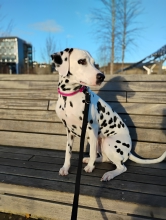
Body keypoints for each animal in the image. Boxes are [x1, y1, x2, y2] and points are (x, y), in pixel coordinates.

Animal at [51, 49, 166, 181]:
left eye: (94, 63)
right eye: (81, 61)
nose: (102, 76)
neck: (70, 96)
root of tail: (129, 151)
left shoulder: (92, 128)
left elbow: (91, 152)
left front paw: (90, 167)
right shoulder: (70, 131)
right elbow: (68, 152)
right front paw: (66, 168)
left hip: (108, 143)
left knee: (121, 167)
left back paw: (108, 174)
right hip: (97, 141)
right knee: (103, 158)